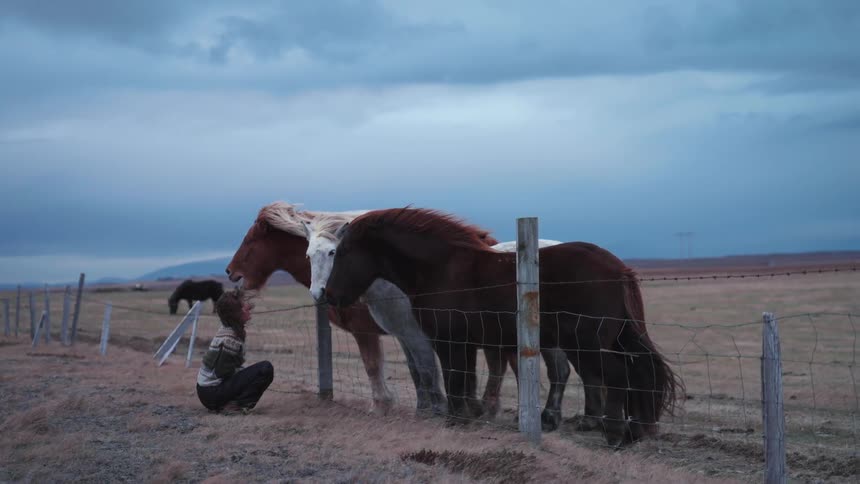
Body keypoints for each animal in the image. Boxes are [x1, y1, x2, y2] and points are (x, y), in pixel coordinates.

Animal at [323, 208, 682, 447]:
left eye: (341, 252)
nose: (329, 295)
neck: (440, 269)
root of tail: (618, 268)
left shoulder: (448, 342)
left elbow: (454, 380)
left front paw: (455, 420)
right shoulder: (465, 344)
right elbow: (463, 380)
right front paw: (467, 417)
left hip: (588, 344)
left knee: (619, 376)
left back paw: (616, 435)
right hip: (610, 340)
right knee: (635, 375)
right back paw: (634, 431)